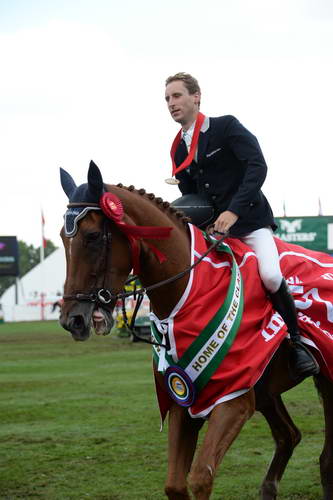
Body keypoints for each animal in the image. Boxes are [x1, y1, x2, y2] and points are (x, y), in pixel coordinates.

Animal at [59, 162, 332, 498]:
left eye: (94, 236)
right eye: (62, 238)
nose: (73, 320)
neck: (191, 293)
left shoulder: (233, 400)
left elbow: (201, 476)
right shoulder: (183, 396)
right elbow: (175, 484)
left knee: (325, 458)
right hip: (268, 392)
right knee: (289, 436)